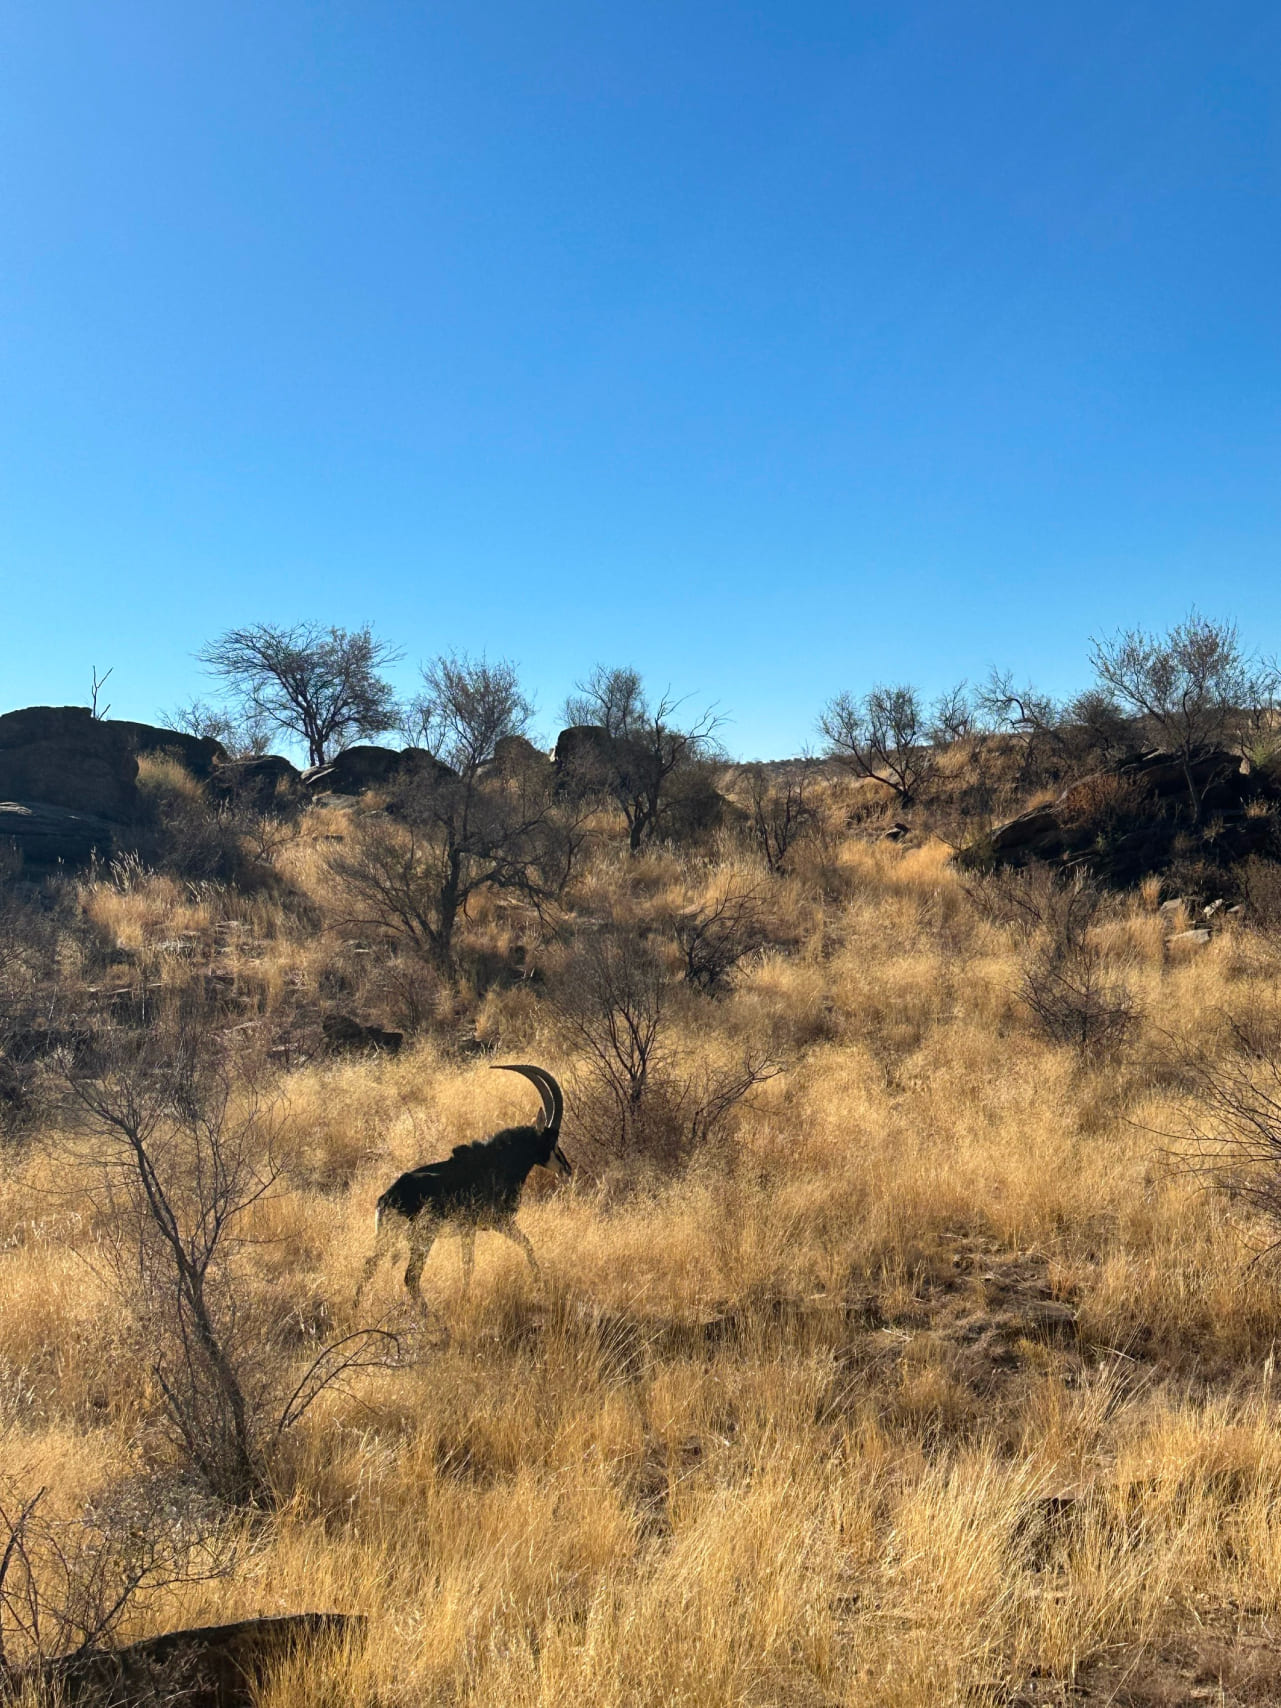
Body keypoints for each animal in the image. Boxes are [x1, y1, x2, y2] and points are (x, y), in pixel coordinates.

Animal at [355, 1064, 570, 1309]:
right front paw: (539, 1285)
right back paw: (429, 1314)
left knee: (369, 1265)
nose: (567, 1168)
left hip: (388, 1238)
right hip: (423, 1237)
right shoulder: (496, 1222)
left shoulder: (473, 1228)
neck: (500, 1161)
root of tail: (387, 1198)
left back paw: (356, 1306)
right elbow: (508, 1252)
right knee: (411, 1276)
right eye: (552, 1141)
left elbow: (477, 1262)